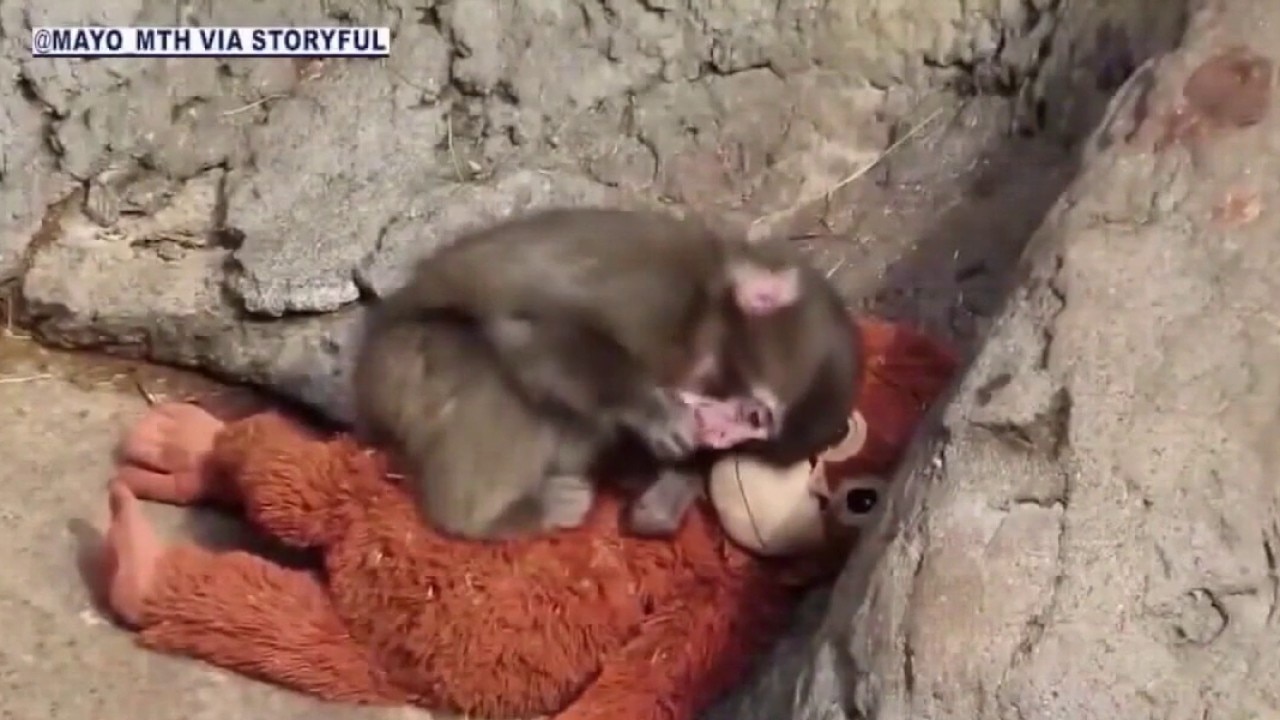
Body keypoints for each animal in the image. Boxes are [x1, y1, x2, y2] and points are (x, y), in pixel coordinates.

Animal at [353, 206, 860, 540]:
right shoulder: (657, 294)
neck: (704, 321)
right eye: (755, 417)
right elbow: (528, 323)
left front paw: (671, 488)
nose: (718, 438)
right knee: (492, 374)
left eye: (753, 435)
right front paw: (650, 409)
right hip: (404, 364)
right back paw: (489, 517)